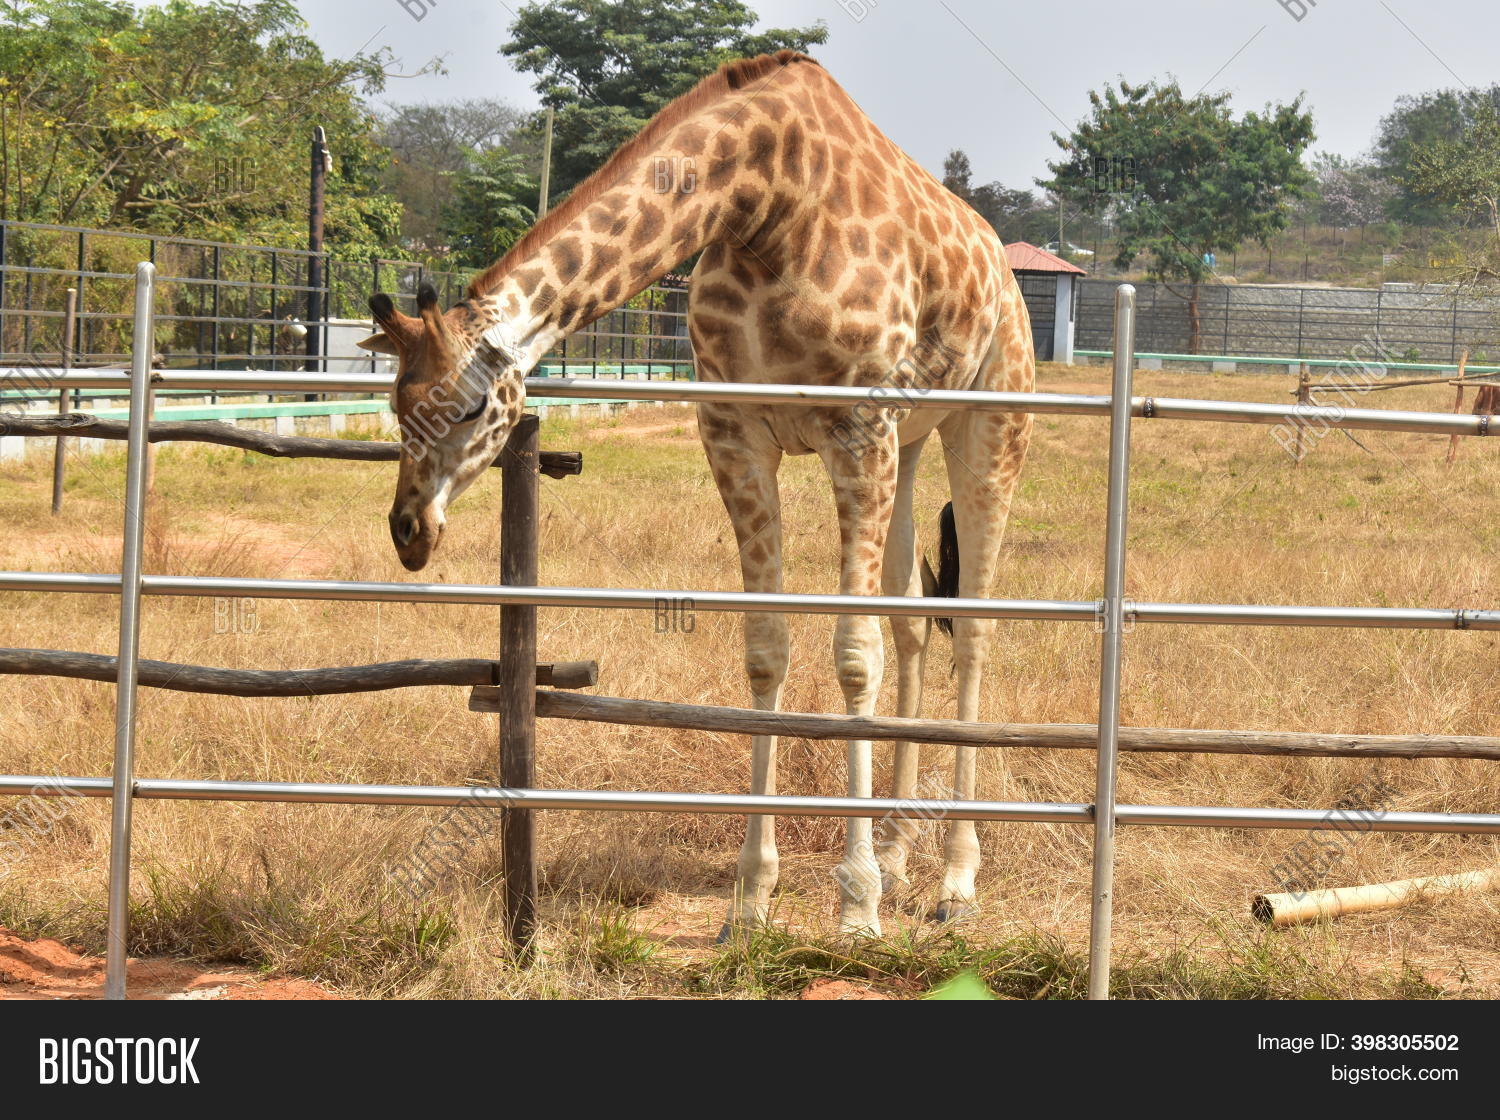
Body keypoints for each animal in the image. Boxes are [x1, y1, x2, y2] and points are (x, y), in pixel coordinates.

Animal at [357, 51, 1034, 936]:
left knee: (976, 628)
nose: (410, 531)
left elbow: (854, 657)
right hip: (913, 439)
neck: (764, 201)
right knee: (916, 620)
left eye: (470, 407)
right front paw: (752, 901)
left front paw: (855, 909)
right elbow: (766, 651)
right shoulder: (734, 430)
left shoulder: (856, 425)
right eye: (395, 404)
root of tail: (1004, 271)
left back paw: (955, 882)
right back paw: (896, 856)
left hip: (988, 420)